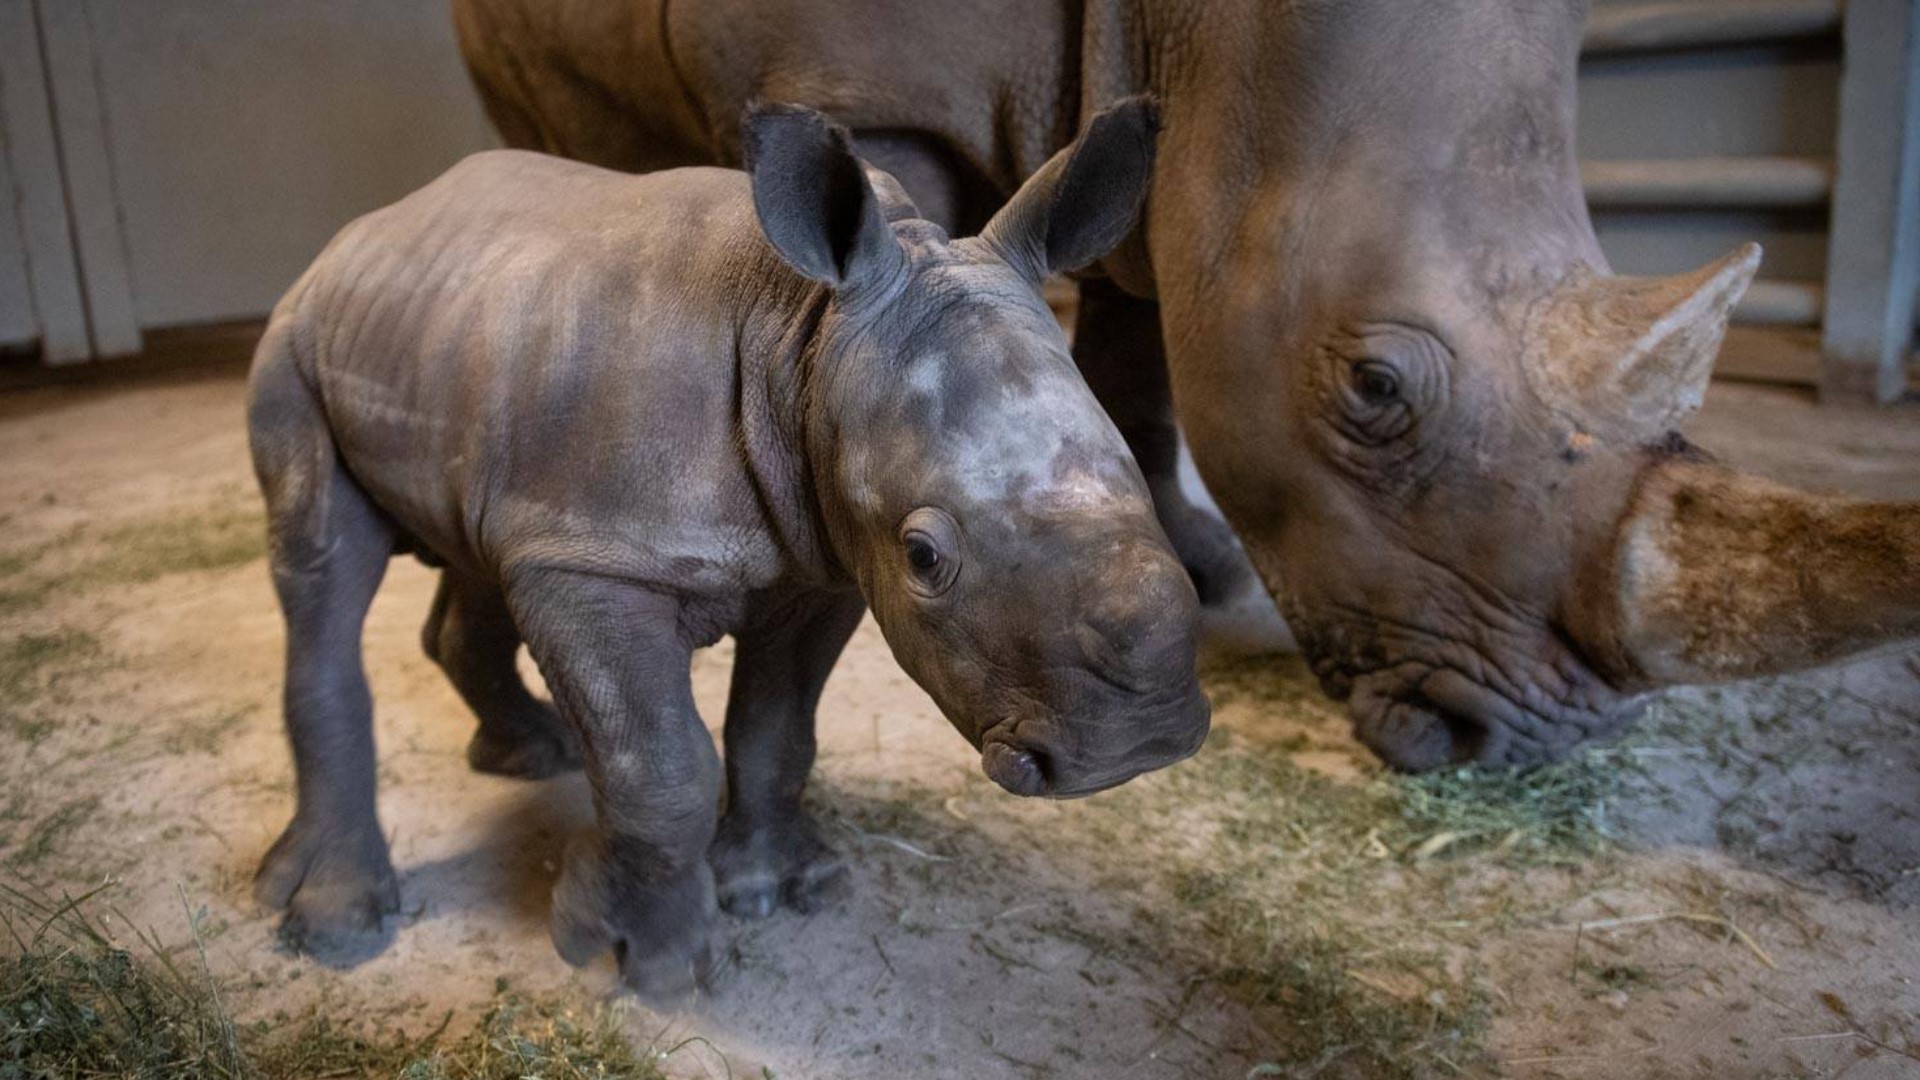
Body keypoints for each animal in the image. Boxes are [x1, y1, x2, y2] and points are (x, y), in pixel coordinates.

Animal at [240, 100, 1198, 991]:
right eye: (925, 557)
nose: (1143, 740)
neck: (805, 334)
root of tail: (361, 234)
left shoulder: (817, 564)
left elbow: (775, 728)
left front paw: (781, 889)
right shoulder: (592, 561)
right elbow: (660, 765)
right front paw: (635, 959)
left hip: (455, 347)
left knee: (478, 549)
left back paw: (533, 756)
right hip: (293, 345)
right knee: (320, 566)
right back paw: (334, 925)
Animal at [453, 2, 1920, 772]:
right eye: (1374, 387)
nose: (1514, 744)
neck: (1217, 27)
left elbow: (1142, 350)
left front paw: (1196, 563)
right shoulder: (858, 78)